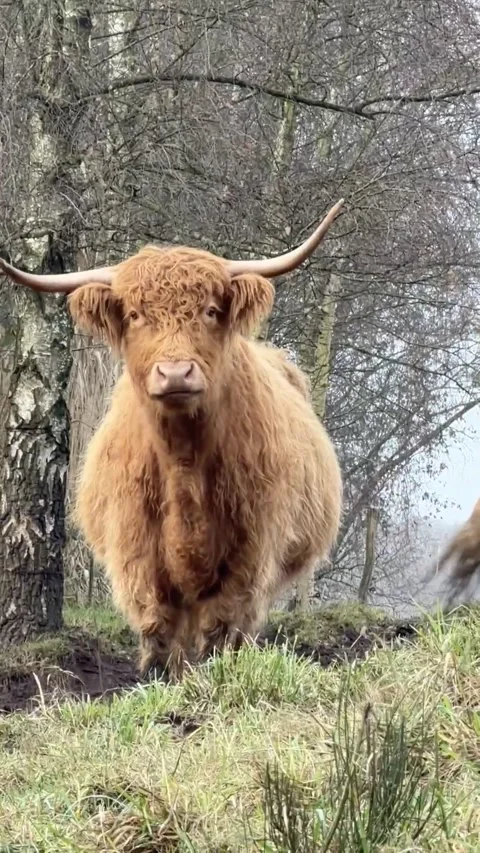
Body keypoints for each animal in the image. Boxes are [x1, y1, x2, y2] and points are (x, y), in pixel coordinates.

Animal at [0, 200, 344, 679]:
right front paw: (163, 678)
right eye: (134, 315)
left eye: (211, 310)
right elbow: (159, 626)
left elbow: (221, 624)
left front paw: (212, 675)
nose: (176, 373)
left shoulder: (251, 548)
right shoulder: (137, 552)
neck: (184, 463)